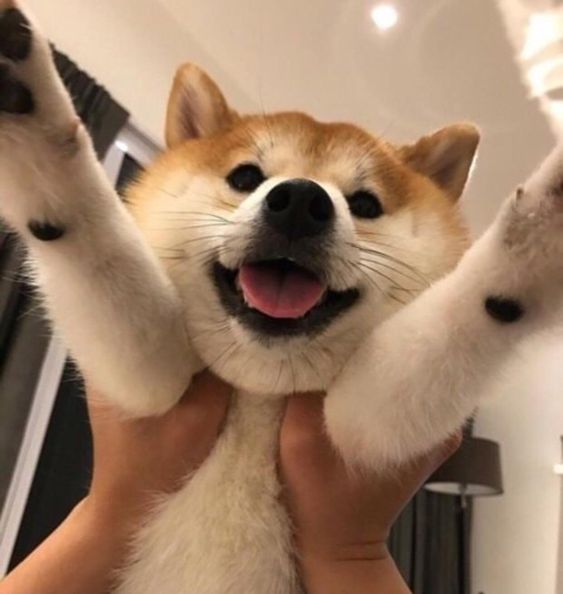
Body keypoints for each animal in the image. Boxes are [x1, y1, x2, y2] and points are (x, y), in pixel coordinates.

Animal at [1, 4, 563, 592]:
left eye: (366, 204)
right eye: (246, 176)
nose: (299, 201)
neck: (260, 392)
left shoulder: (362, 427)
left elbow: (468, 312)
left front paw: (539, 232)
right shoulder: (151, 380)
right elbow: (100, 243)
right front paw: (35, 135)